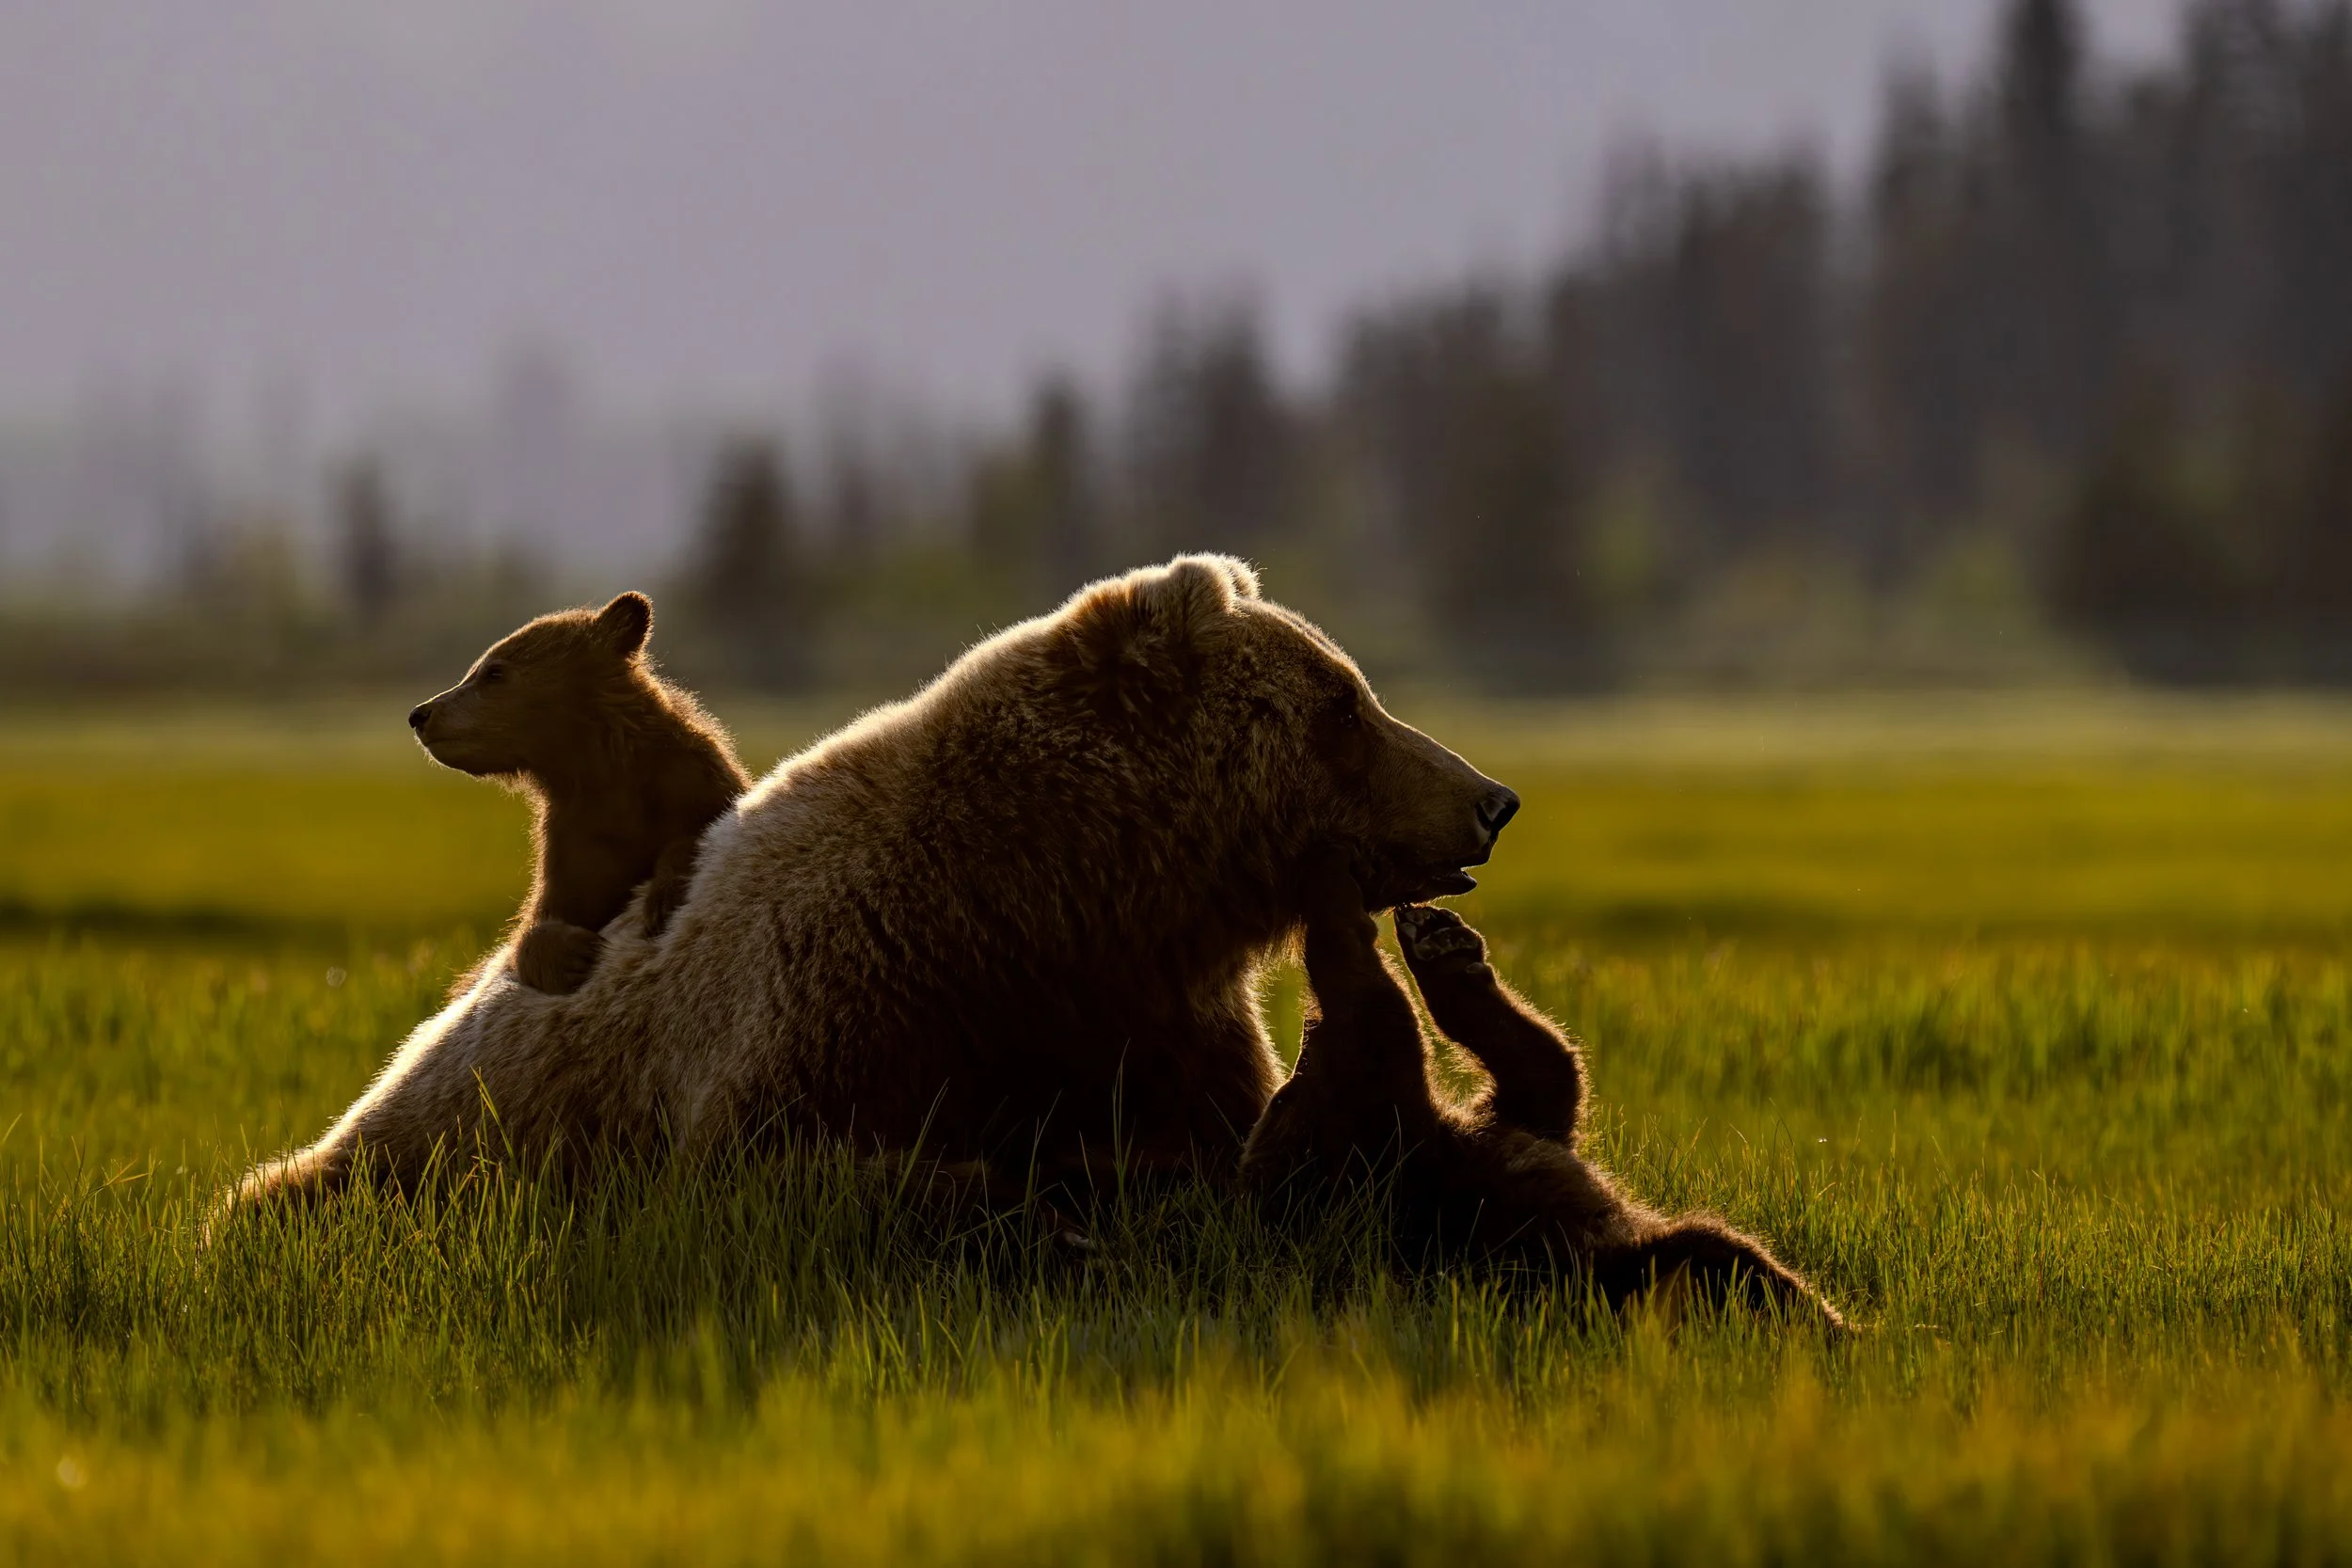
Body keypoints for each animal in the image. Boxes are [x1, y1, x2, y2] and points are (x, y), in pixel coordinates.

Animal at [407, 592, 751, 996]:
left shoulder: (689, 786)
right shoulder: (575, 840)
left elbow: (695, 832)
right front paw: (571, 954)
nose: (420, 714)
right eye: (477, 669)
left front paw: (662, 900)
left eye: (493, 672)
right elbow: (543, 919)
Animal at [1238, 848, 1847, 1331]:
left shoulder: (1491, 1133)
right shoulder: (1408, 1143)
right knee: (1716, 1258)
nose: (1307, 1032)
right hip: (1624, 1274)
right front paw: (1333, 889)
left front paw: (1443, 946)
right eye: (1282, 1098)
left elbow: (1542, 1070)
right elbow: (1377, 1004)